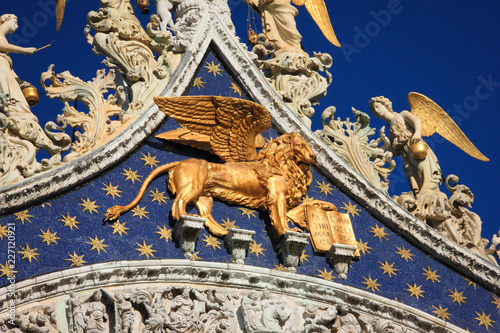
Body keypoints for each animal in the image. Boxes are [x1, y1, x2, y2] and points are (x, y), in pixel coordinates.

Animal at [105, 96, 316, 236]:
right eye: (301, 145)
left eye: (308, 146)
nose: (314, 156)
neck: (282, 165)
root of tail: (181, 161)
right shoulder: (276, 195)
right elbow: (280, 217)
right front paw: (288, 230)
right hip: (192, 187)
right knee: (178, 204)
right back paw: (188, 221)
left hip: (204, 195)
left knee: (205, 213)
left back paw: (221, 230)